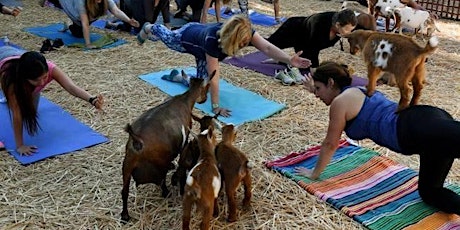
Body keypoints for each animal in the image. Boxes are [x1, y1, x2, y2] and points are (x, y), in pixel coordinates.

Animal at [121, 70, 217, 223]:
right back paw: (166, 192)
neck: (185, 100)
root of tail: (137, 140)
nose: (204, 99)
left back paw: (125, 215)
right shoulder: (185, 138)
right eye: (207, 87)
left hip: (127, 165)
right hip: (160, 161)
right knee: (161, 180)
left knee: (124, 191)